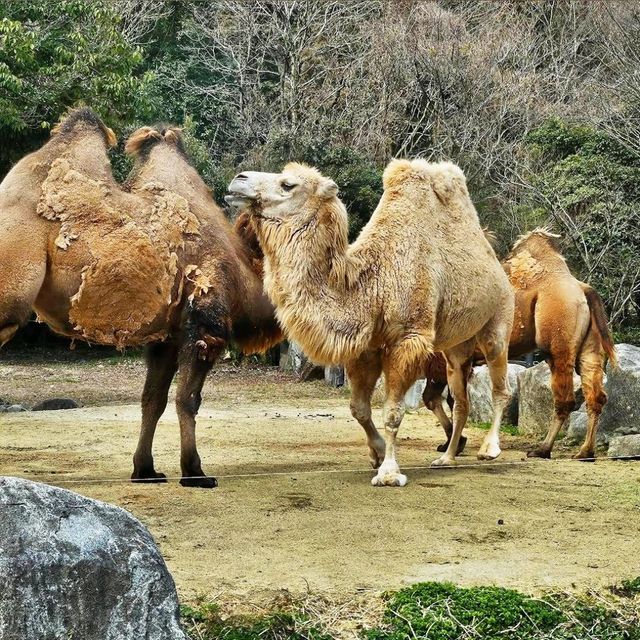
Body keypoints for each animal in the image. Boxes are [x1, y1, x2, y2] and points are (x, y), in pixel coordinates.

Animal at [0, 110, 282, 488]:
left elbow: (153, 401)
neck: (245, 274)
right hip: (11, 295)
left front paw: (145, 470)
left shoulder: (167, 336)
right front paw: (195, 472)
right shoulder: (206, 325)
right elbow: (188, 399)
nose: (241, 180)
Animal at [229, 159, 516, 484]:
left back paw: (489, 449)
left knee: (500, 385)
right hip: (455, 349)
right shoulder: (366, 346)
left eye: (288, 184)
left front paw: (389, 472)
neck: (374, 284)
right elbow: (359, 409)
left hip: (498, 322)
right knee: (461, 400)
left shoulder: (408, 340)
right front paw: (377, 454)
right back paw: (447, 458)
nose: (238, 179)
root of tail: (497, 262)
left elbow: (392, 412)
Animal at [420, 230, 616, 460]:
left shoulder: (442, 360)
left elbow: (444, 399)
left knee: (564, 398)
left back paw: (543, 449)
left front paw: (456, 444)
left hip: (558, 342)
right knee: (595, 395)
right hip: (589, 347)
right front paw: (452, 444)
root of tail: (583, 289)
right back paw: (585, 451)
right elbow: (436, 398)